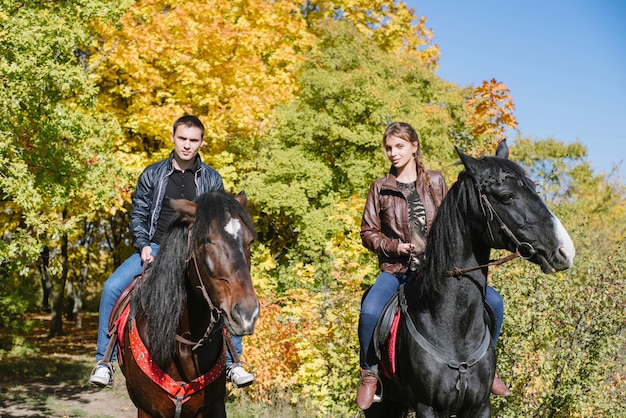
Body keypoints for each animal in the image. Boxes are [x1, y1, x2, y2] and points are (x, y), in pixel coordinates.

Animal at [116, 191, 258, 416]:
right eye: (206, 240)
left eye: (250, 241)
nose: (247, 314)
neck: (182, 344)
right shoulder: (146, 411)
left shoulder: (214, 406)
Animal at [364, 141, 572, 418]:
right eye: (506, 196)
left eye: (533, 188)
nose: (565, 250)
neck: (452, 325)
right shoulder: (427, 407)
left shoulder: (480, 405)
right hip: (381, 405)